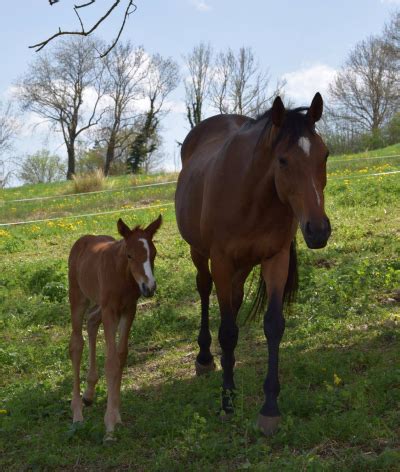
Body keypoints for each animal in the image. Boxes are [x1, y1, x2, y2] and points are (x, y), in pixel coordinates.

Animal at [68, 214, 162, 438]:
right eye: (129, 255)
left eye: (153, 253)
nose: (149, 287)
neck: (122, 276)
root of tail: (83, 239)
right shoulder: (110, 311)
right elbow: (111, 361)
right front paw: (109, 425)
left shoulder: (129, 310)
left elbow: (121, 356)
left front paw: (116, 415)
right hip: (78, 298)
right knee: (76, 344)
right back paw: (77, 413)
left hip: (98, 305)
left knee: (92, 321)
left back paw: (89, 393)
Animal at [175, 92, 332, 436]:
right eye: (283, 160)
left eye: (325, 155)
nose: (318, 230)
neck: (252, 197)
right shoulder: (220, 261)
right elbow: (227, 331)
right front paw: (227, 402)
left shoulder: (276, 259)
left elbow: (273, 326)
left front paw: (269, 408)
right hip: (200, 254)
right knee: (205, 291)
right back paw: (205, 358)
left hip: (244, 264)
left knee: (233, 300)